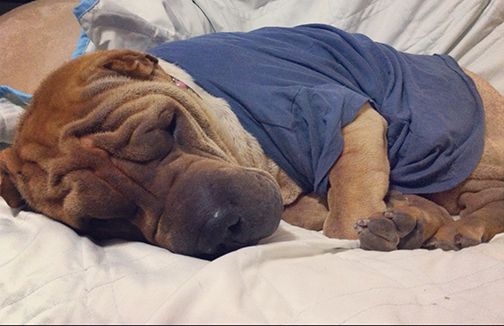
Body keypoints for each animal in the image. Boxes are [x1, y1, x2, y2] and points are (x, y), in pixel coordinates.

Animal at [0, 24, 504, 258]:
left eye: (168, 127)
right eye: (103, 221)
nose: (217, 226)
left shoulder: (343, 117)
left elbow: (345, 209)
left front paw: (373, 225)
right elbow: (324, 207)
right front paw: (405, 218)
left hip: (462, 148)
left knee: (490, 200)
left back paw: (461, 228)